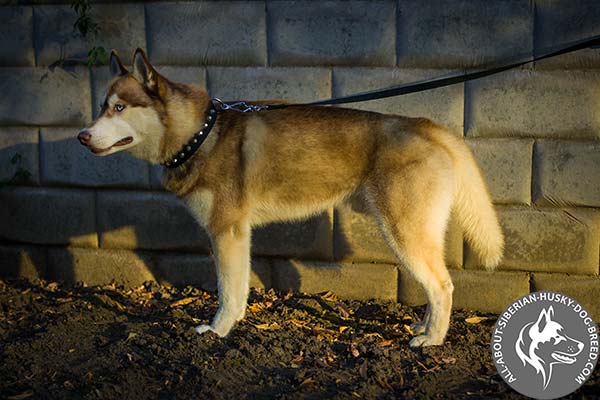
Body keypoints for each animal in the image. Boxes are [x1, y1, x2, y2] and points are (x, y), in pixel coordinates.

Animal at [77, 47, 504, 346]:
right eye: (101, 107)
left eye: (119, 107)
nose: (82, 136)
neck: (200, 134)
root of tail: (426, 125)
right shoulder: (238, 236)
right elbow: (238, 289)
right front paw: (234, 324)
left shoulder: (226, 231)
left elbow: (226, 290)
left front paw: (217, 331)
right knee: (436, 287)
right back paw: (424, 326)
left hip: (404, 233)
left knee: (443, 286)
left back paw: (432, 339)